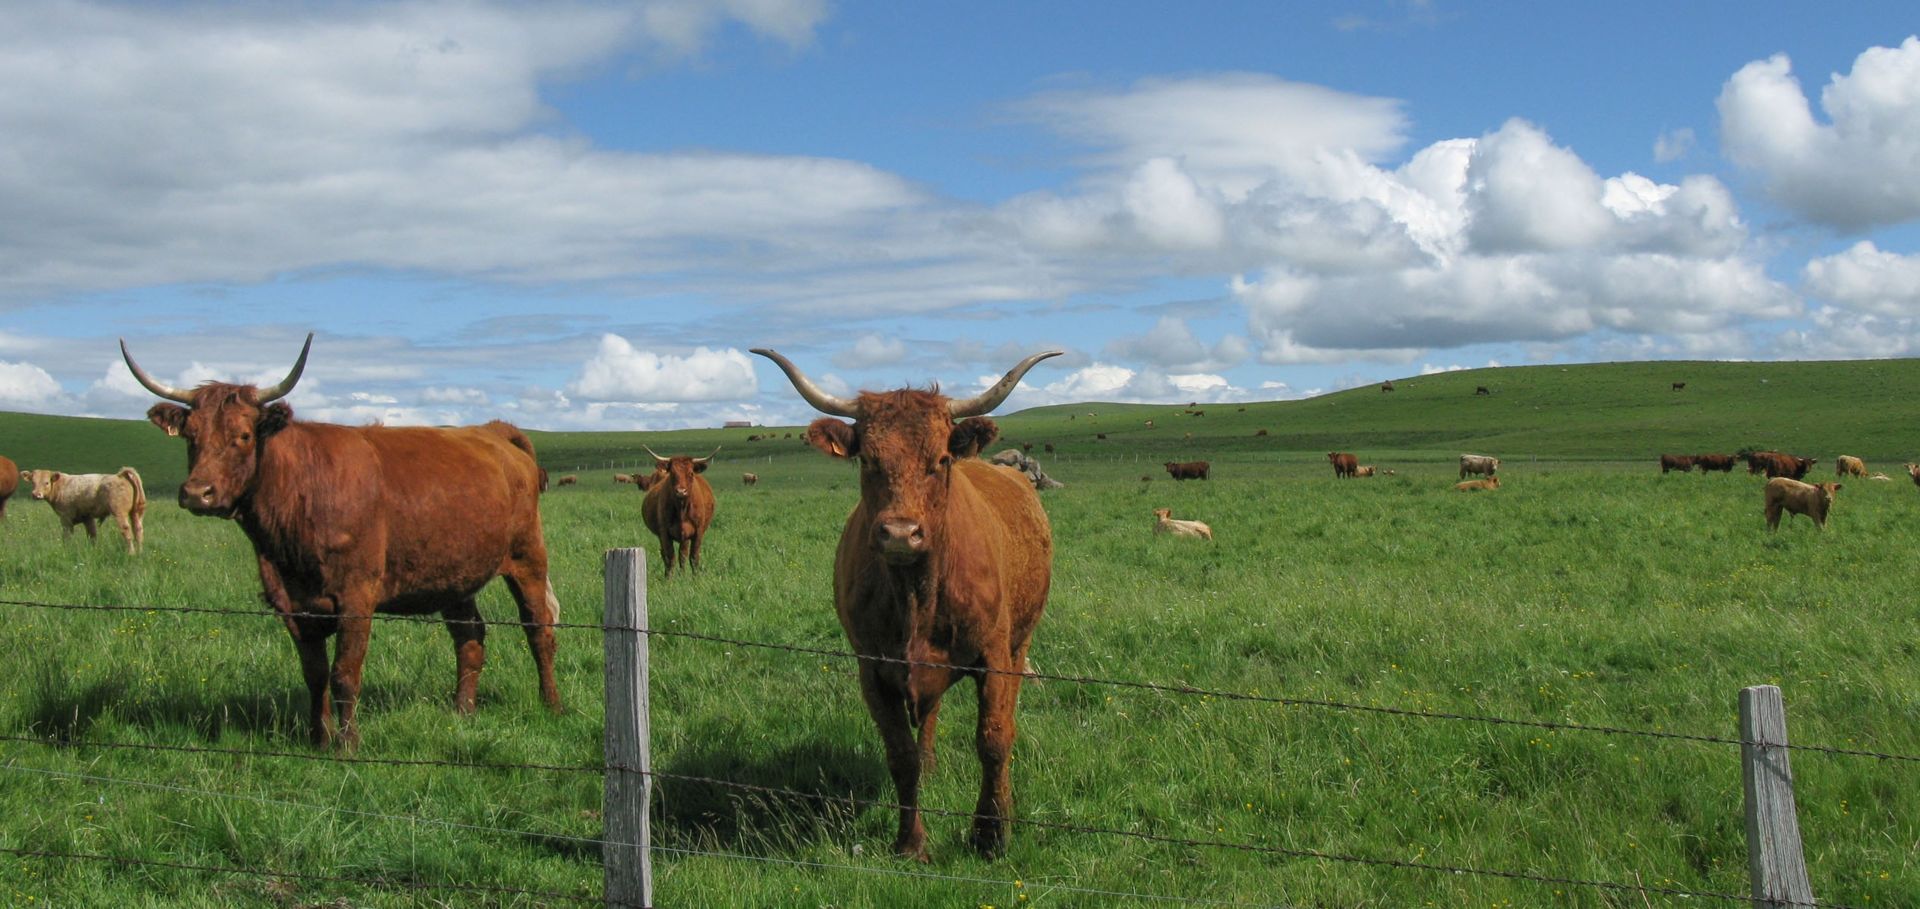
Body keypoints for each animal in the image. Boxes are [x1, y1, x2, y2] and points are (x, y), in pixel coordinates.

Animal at [123, 334, 561, 750]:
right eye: (190, 436)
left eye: (243, 435)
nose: (198, 493)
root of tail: (493, 430)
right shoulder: (292, 603)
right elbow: (315, 675)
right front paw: (319, 738)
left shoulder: (357, 596)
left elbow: (345, 673)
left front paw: (348, 744)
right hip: (454, 574)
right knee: (469, 637)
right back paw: (463, 711)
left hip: (527, 557)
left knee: (538, 628)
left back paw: (551, 704)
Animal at [640, 445, 718, 578]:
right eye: (672, 473)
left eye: (691, 473)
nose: (681, 491)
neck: (682, 509)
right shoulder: (664, 533)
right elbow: (670, 557)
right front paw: (668, 579)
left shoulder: (698, 532)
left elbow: (693, 557)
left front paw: (695, 578)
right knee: (667, 554)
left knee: (683, 554)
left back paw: (682, 574)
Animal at [753, 346, 1058, 860]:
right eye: (868, 461)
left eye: (940, 459)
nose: (900, 533)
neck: (917, 594)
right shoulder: (874, 669)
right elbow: (901, 755)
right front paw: (911, 842)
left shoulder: (995, 655)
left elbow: (994, 739)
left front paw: (990, 833)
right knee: (929, 716)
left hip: (1021, 641)